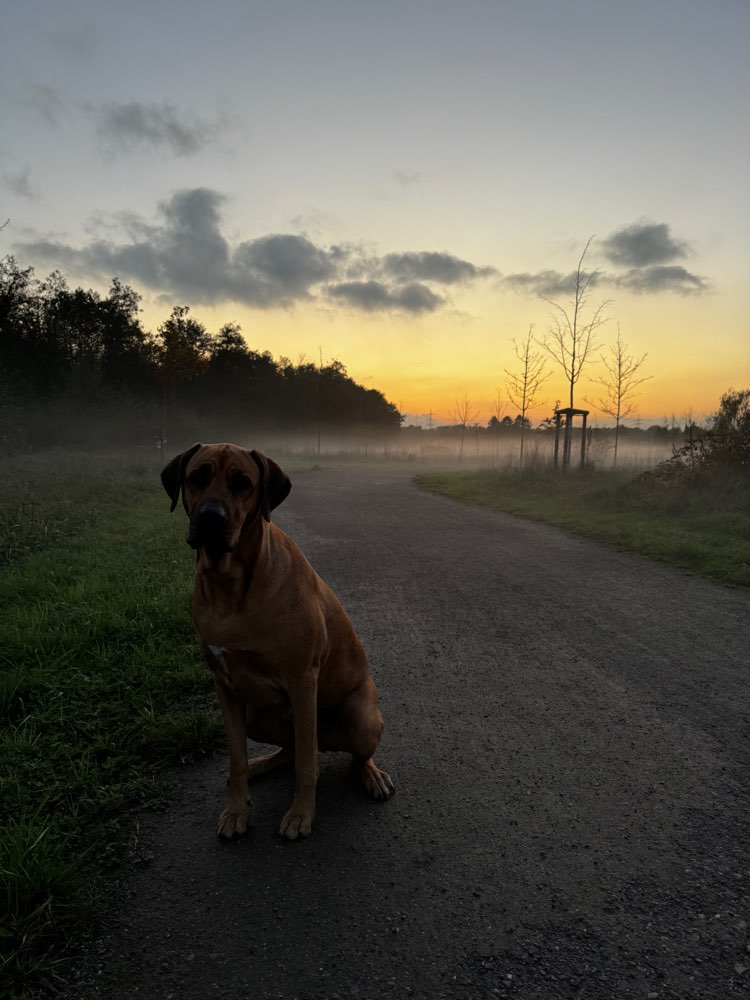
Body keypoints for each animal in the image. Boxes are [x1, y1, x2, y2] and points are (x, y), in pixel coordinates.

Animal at [159, 442, 394, 840]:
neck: (231, 585)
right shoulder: (224, 685)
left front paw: (301, 814)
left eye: (243, 483)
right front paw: (236, 810)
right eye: (197, 477)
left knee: (344, 754)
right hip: (258, 716)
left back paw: (372, 776)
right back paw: (262, 763)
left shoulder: (302, 680)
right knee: (291, 751)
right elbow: (236, 758)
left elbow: (307, 767)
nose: (210, 517)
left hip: (361, 718)